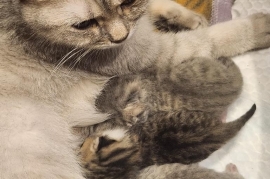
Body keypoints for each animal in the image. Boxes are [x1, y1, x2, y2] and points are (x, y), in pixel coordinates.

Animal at [1, 0, 270, 179]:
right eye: (83, 24)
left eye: (127, 3)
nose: (121, 38)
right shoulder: (157, 52)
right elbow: (211, 39)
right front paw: (257, 27)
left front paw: (184, 16)